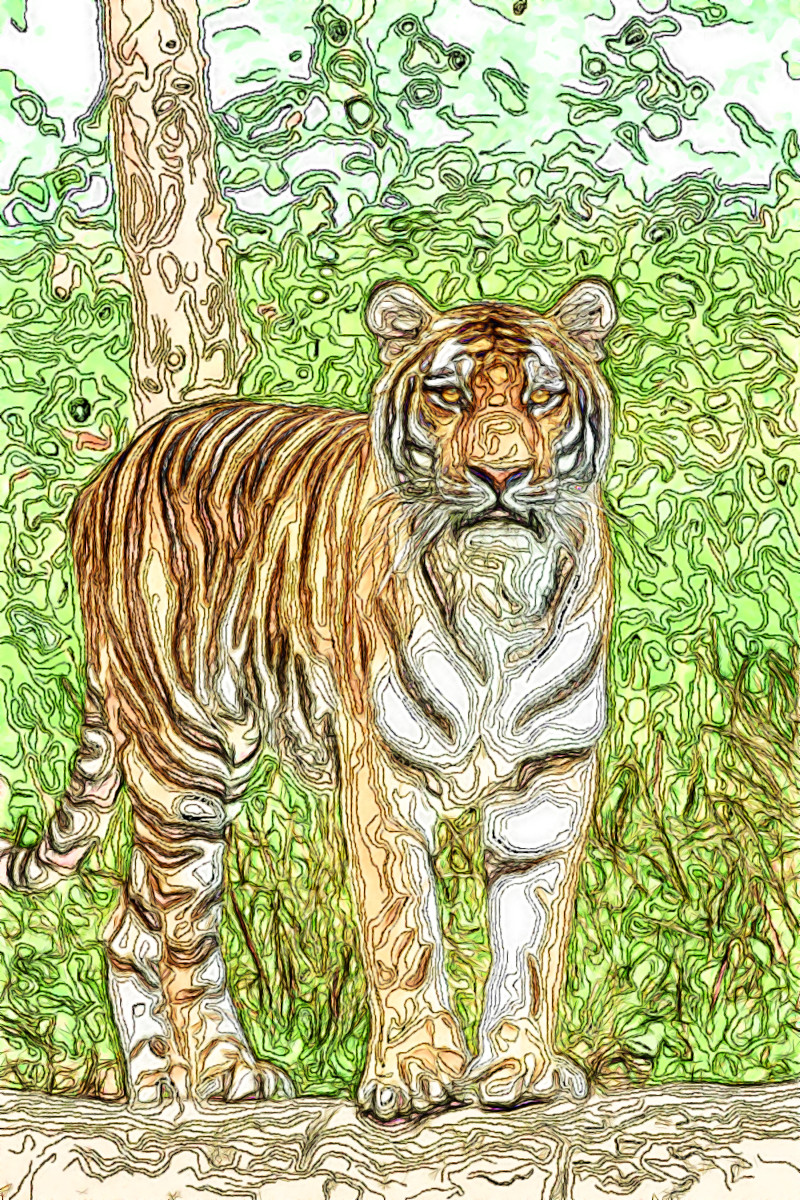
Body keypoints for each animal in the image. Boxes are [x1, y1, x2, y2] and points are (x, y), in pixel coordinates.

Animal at [0, 277, 616, 1120]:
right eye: (448, 396)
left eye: (543, 398)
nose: (501, 477)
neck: (500, 594)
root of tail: (113, 466)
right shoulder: (384, 773)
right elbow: (403, 931)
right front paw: (415, 1075)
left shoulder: (549, 780)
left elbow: (531, 940)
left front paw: (520, 1070)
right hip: (184, 756)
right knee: (185, 930)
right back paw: (224, 1069)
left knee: (130, 925)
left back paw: (156, 1084)